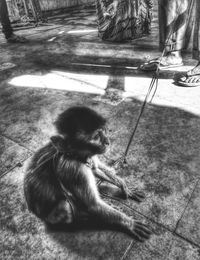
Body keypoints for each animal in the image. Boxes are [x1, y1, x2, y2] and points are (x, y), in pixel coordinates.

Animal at [23, 105, 152, 242]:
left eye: (104, 131)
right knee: (65, 205)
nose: (108, 141)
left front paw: (124, 186)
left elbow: (96, 169)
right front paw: (128, 222)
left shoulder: (88, 157)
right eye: (96, 136)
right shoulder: (75, 169)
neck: (73, 155)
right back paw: (85, 217)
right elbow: (93, 205)